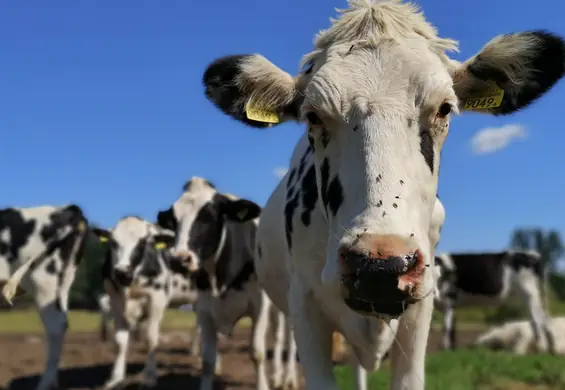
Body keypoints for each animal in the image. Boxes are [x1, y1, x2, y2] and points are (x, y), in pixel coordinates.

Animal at [153, 178, 296, 390]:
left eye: (209, 216)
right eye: (174, 221)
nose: (179, 259)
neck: (218, 280)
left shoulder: (260, 306)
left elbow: (257, 352)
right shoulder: (204, 310)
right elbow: (207, 361)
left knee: (286, 338)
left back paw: (286, 377)